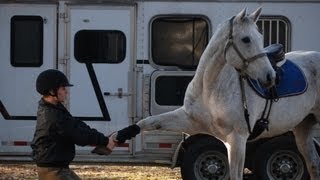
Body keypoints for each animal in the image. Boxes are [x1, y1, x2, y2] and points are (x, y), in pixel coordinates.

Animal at [136, 7, 320, 180]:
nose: (270, 77)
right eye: (246, 39)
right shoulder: (190, 121)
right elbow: (148, 122)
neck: (210, 90)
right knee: (314, 165)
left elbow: (236, 175)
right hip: (303, 129)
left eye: (260, 38)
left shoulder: (237, 139)